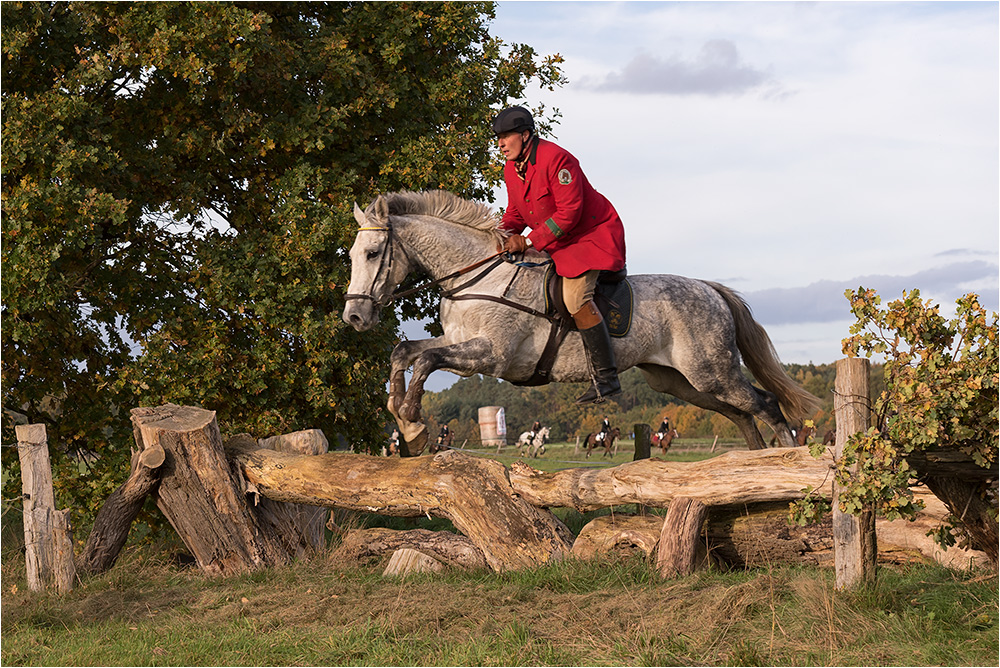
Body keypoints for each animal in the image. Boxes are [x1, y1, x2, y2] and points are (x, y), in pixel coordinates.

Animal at [344, 190, 820, 456]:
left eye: (371, 254)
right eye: (351, 255)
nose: (354, 316)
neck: (476, 276)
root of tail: (709, 289)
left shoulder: (489, 356)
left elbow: (426, 362)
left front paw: (412, 421)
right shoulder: (459, 343)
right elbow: (405, 352)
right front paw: (405, 421)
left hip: (711, 373)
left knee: (765, 405)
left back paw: (783, 465)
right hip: (682, 383)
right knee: (742, 414)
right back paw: (753, 464)